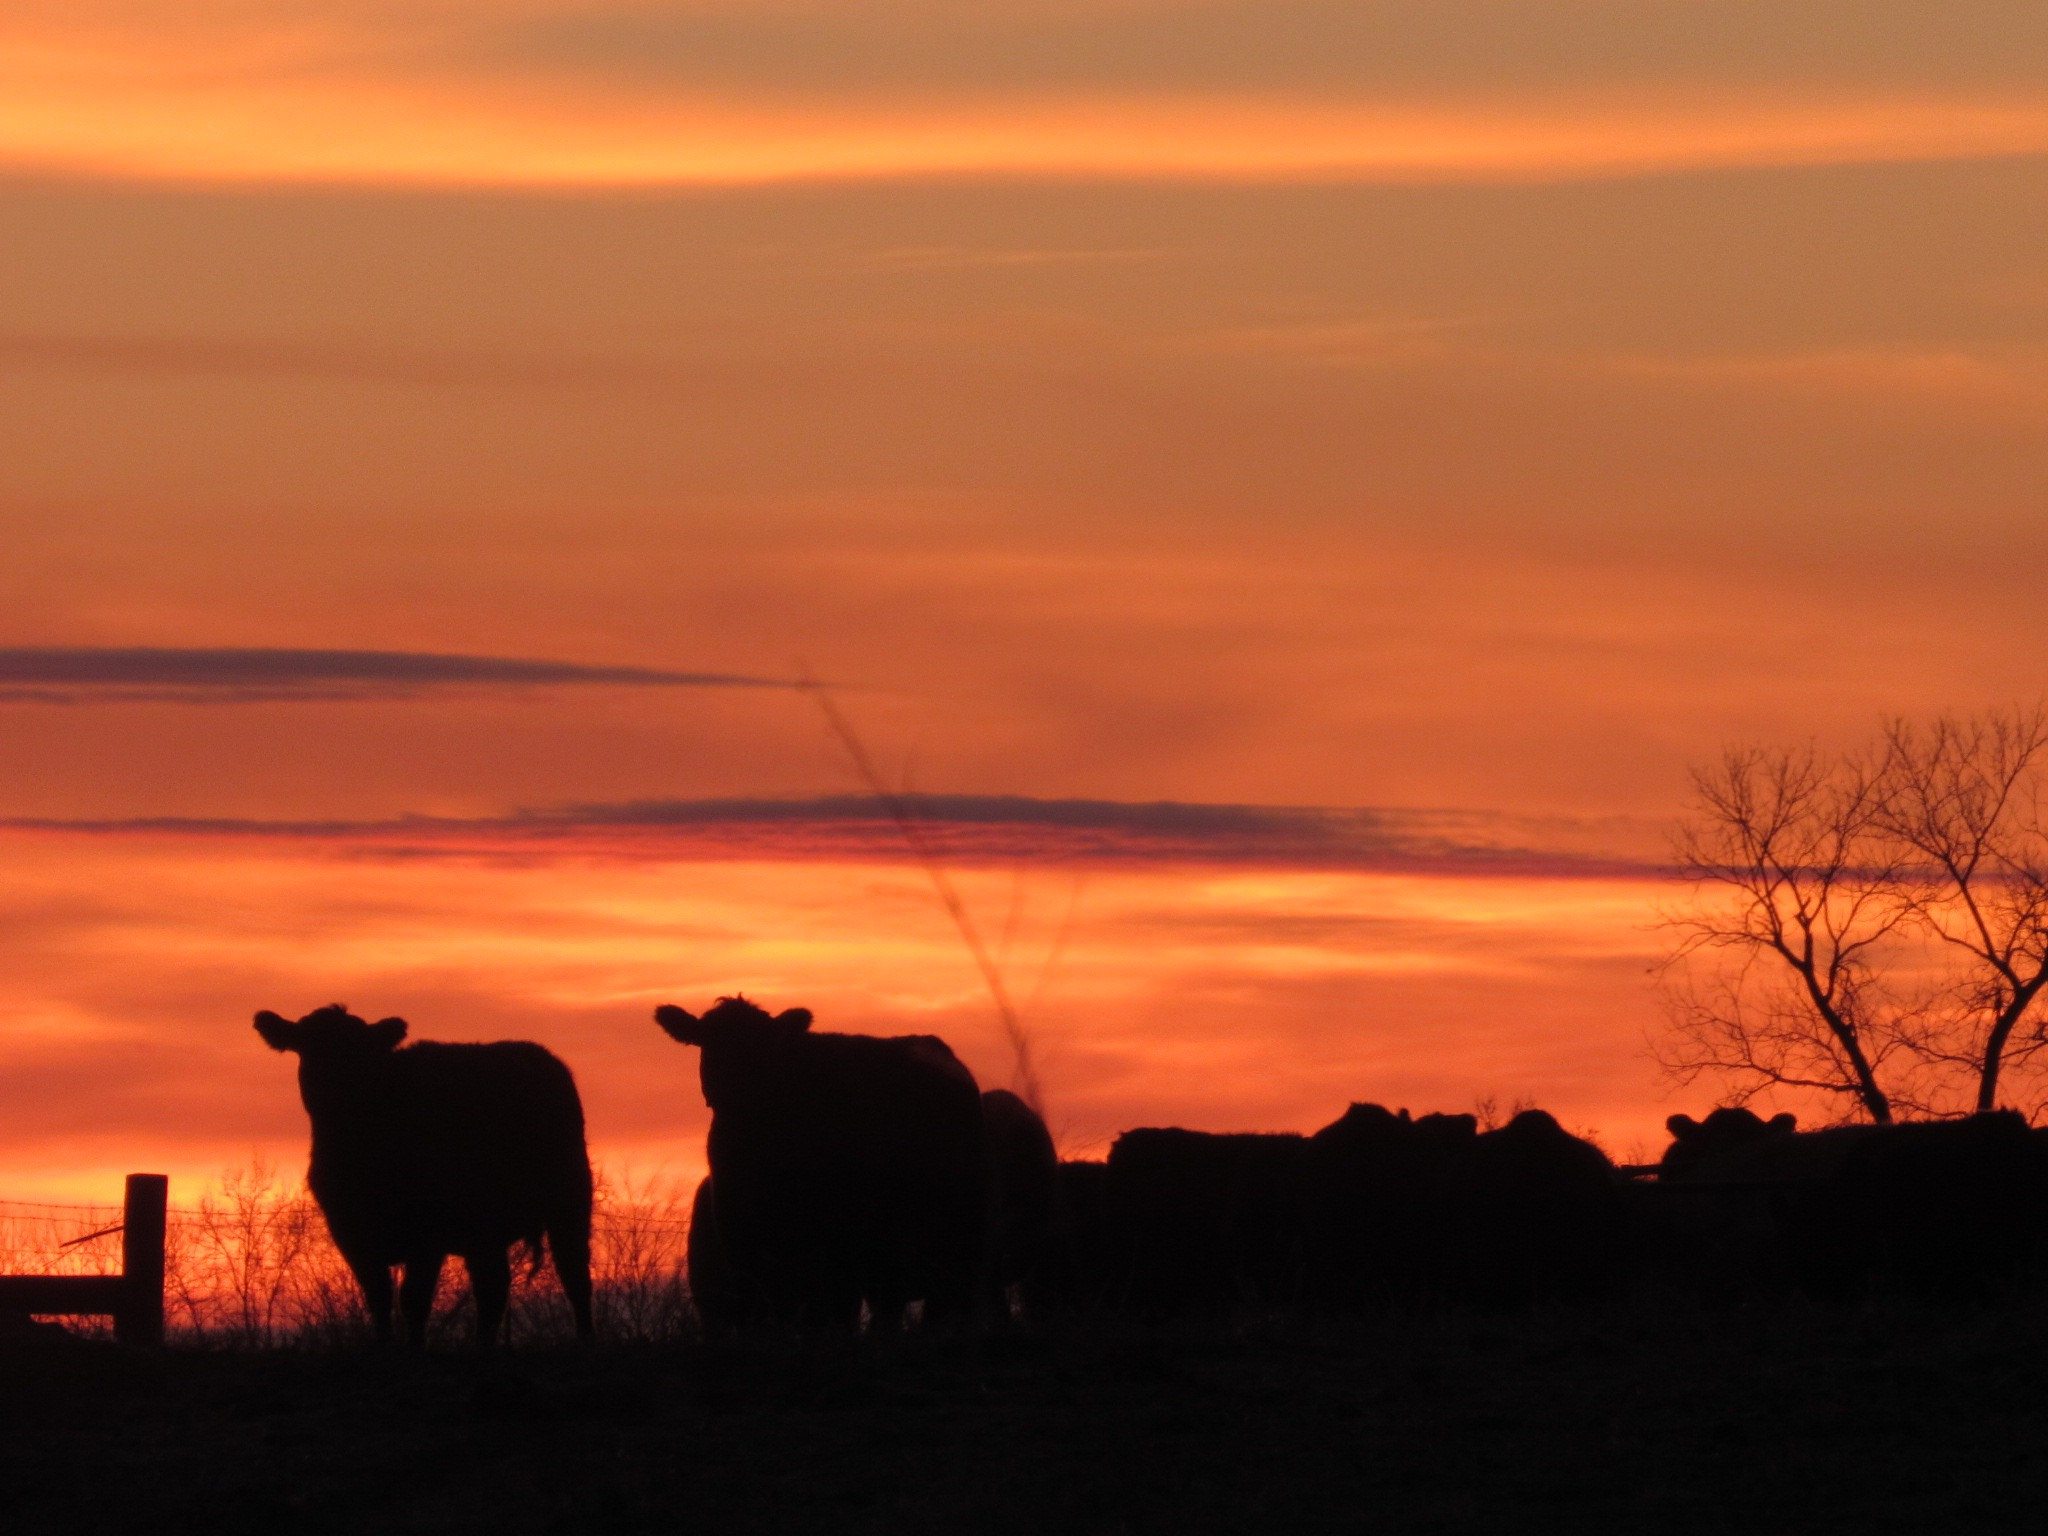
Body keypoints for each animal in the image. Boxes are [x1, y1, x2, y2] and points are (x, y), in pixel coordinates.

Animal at [253, 1004, 594, 1346]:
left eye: (361, 1049)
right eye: (308, 1046)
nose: (335, 1088)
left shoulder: (428, 1236)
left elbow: (414, 1301)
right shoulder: (351, 1234)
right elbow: (379, 1298)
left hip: (569, 1201)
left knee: (575, 1276)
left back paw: (584, 1339)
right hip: (484, 1229)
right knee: (492, 1288)